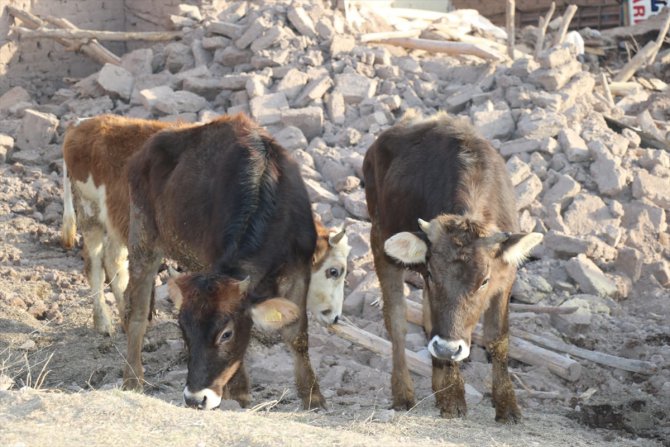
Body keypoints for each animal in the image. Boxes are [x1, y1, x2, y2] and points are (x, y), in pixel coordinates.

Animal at [362, 111, 544, 424]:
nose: (448, 347)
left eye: (484, 281)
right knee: (396, 319)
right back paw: (404, 393)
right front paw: (453, 398)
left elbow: (498, 338)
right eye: (433, 274)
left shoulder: (506, 279)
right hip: (379, 237)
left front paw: (507, 405)